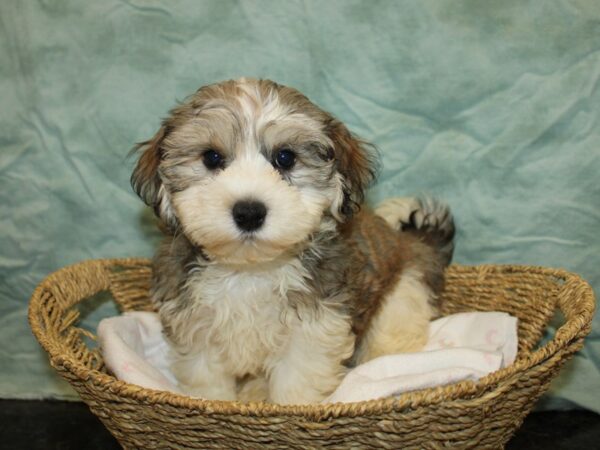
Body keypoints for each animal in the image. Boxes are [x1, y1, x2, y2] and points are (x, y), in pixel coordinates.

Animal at [129, 78, 452, 404]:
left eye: (285, 158)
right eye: (211, 158)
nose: (249, 212)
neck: (249, 270)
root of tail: (414, 241)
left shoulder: (312, 330)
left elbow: (297, 386)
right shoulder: (195, 327)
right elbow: (207, 383)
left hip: (403, 296)